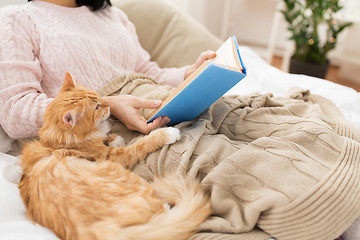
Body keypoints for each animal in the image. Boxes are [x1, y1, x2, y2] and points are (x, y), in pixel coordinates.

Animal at [18, 72, 211, 240]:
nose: (108, 103)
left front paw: (114, 138)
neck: (58, 143)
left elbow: (108, 137)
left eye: (97, 97)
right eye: (96, 107)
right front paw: (165, 134)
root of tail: (97, 231)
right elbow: (140, 144)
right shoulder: (112, 157)